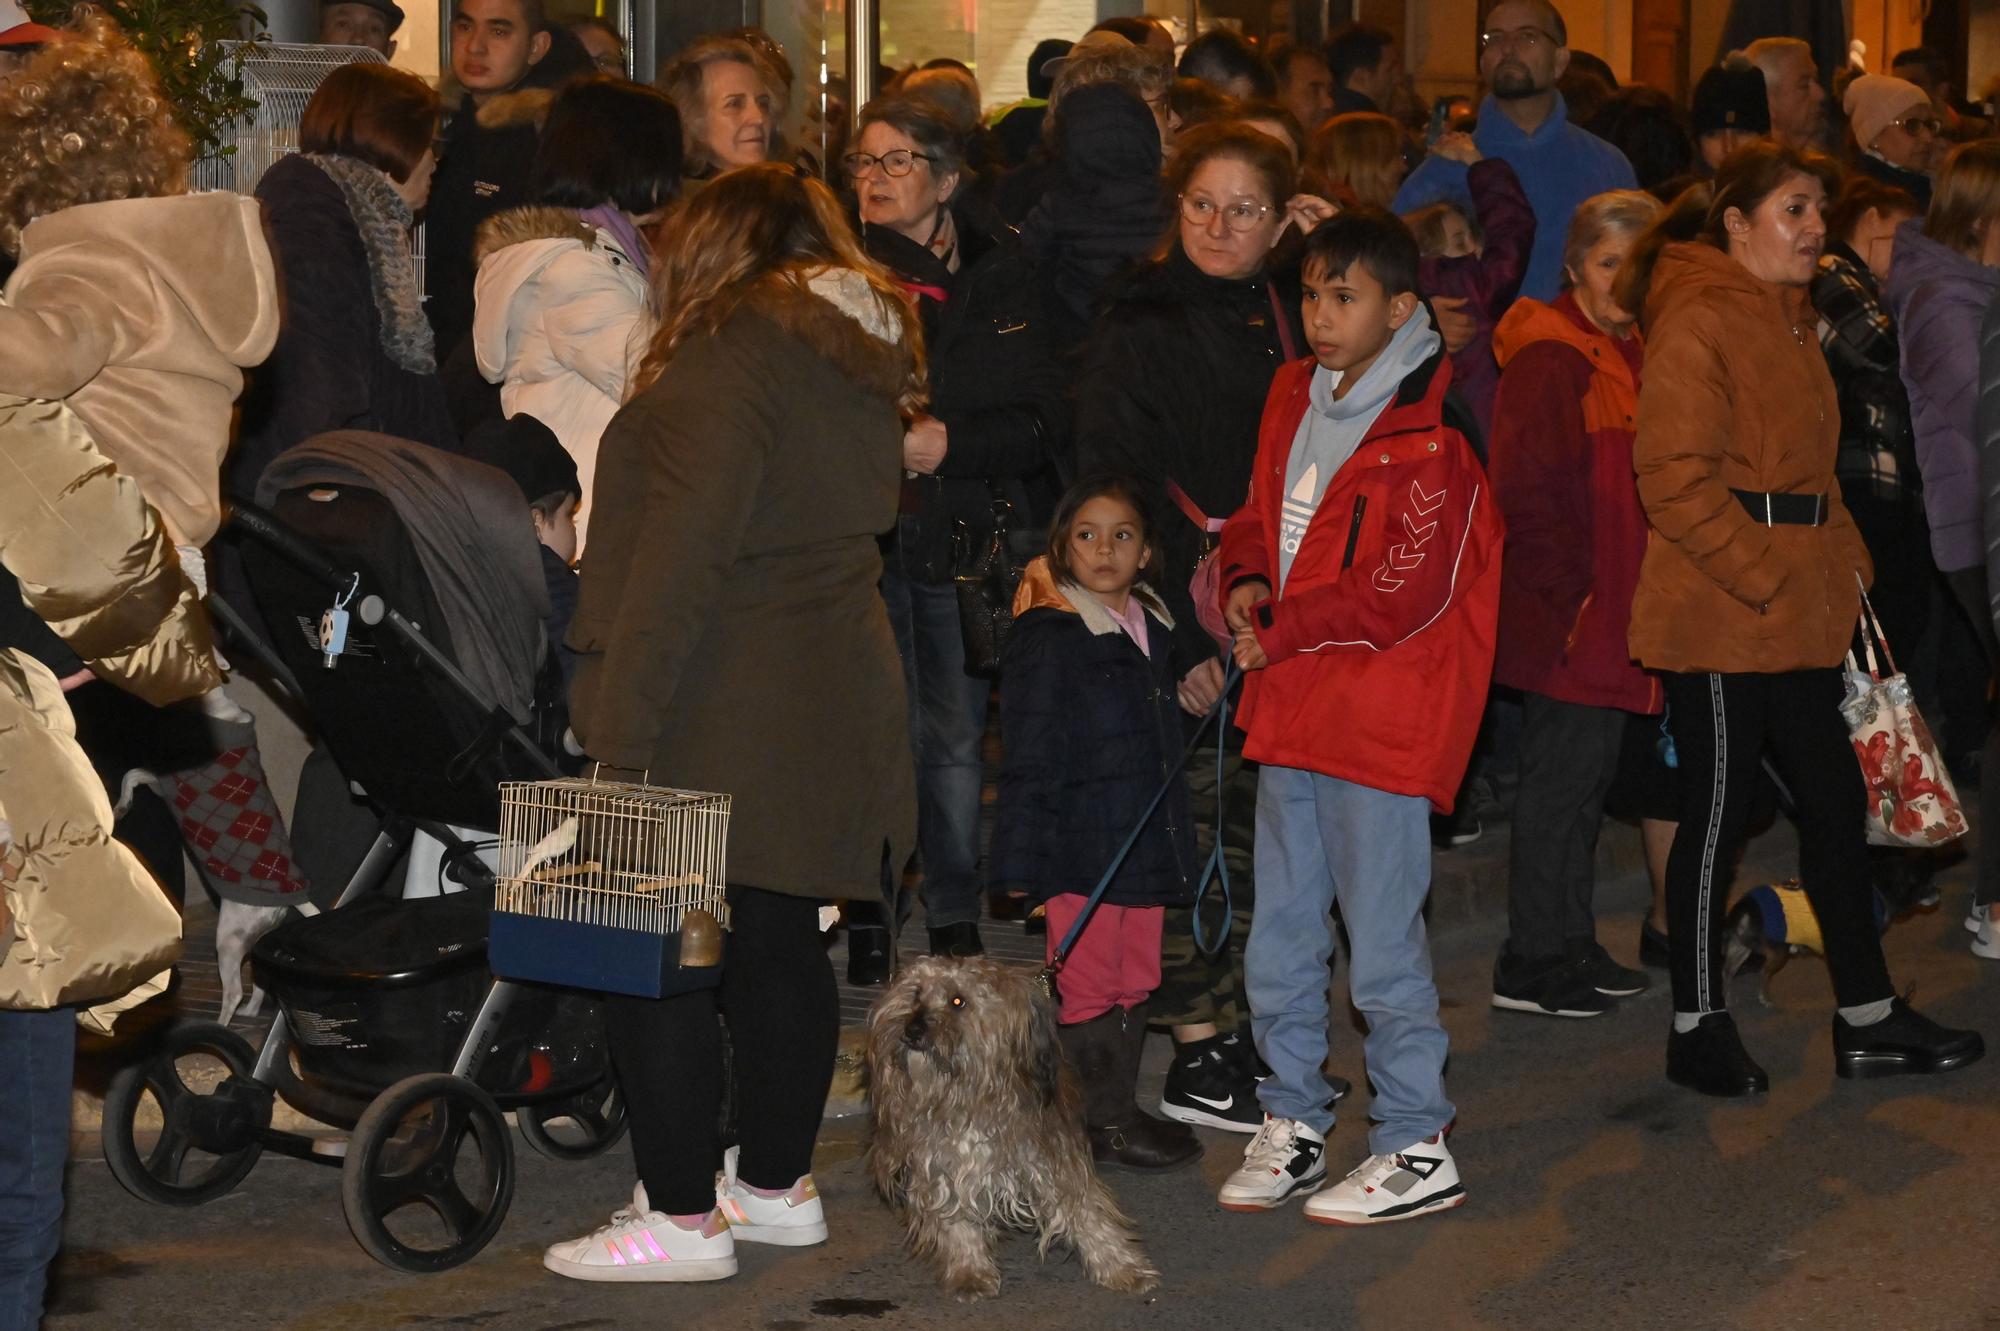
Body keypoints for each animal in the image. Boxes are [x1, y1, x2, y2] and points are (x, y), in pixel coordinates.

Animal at [860, 955, 1160, 1295]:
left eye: (958, 1001)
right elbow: (955, 1215)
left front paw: (1121, 1266)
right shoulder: (940, 1163)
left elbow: (1086, 1212)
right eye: (916, 994)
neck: (970, 1097)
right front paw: (969, 1271)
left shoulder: (1054, 1158)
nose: (912, 1030)